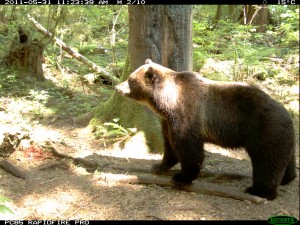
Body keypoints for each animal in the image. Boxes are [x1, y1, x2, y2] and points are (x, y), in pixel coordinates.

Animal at [114, 59, 296, 200]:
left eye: (130, 80)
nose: (117, 87)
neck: (167, 103)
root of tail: (288, 114)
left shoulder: (187, 114)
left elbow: (189, 149)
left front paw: (181, 177)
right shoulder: (167, 121)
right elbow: (169, 144)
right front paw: (159, 166)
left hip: (264, 130)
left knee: (267, 161)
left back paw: (259, 190)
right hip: (282, 135)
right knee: (285, 158)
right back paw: (287, 178)